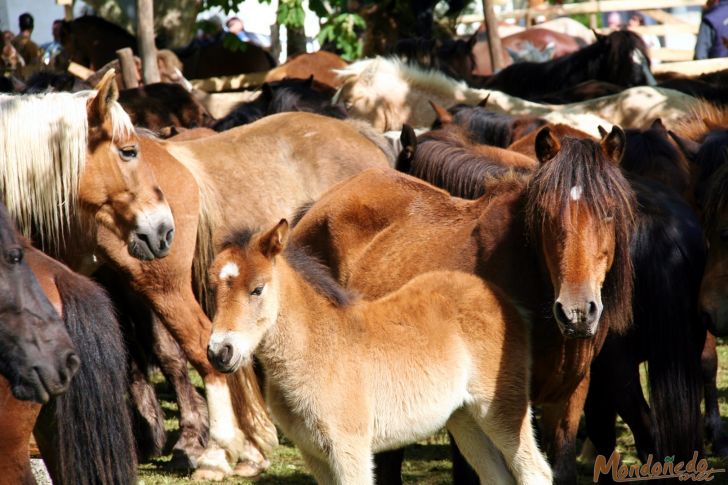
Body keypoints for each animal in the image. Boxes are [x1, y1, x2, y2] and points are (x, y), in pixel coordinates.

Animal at [205, 219, 552, 484]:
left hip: (501, 408)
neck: (316, 351)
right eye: (212, 288)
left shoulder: (349, 448)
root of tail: (502, 300)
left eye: (257, 289)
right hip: (464, 418)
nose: (220, 352)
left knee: (535, 471)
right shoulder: (313, 453)